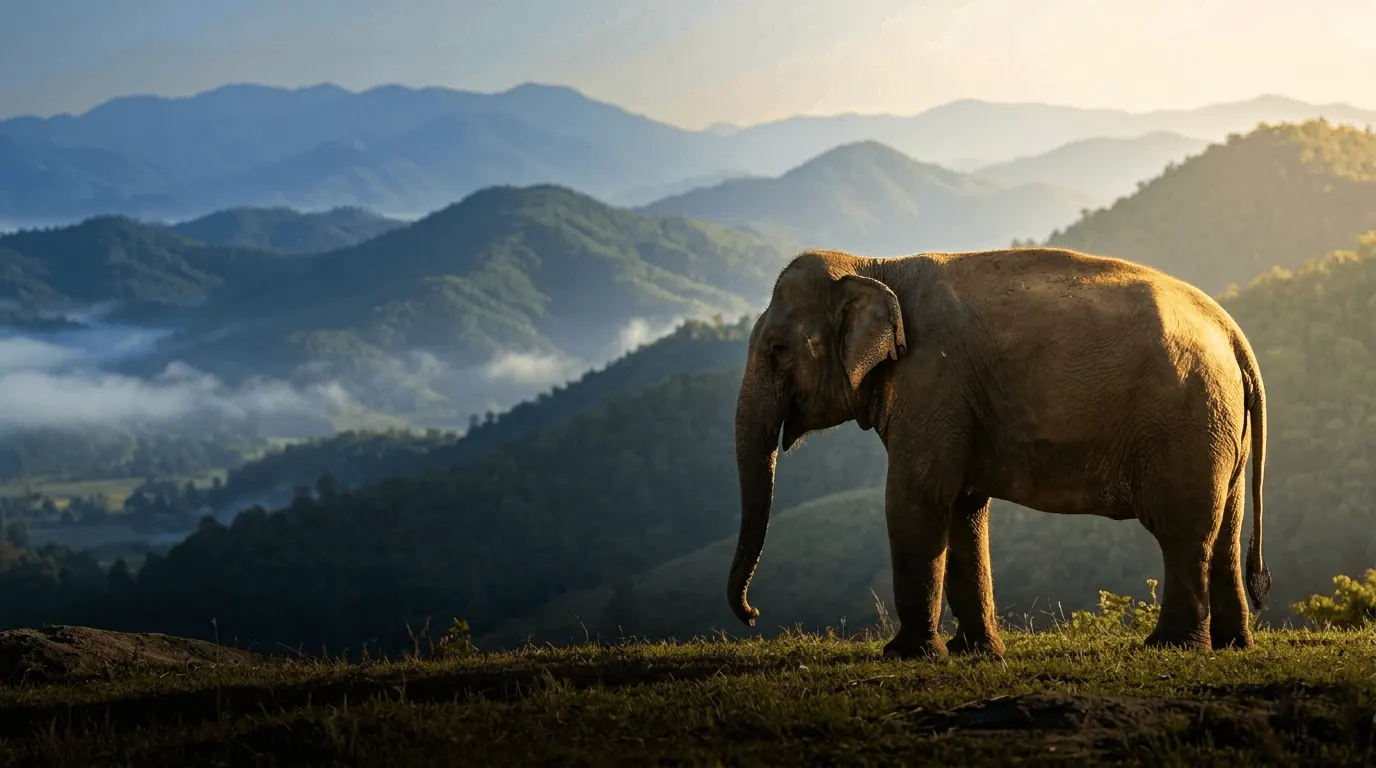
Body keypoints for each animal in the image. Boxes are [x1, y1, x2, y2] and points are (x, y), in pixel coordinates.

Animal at [726, 247, 1270, 659]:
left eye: (777, 350)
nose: (753, 616)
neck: (876, 265)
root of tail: (1235, 334)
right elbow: (963, 507)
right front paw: (976, 652)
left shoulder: (932, 383)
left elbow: (916, 499)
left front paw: (908, 655)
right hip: (1222, 430)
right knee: (1224, 530)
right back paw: (1232, 645)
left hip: (1186, 423)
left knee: (1184, 532)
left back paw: (1168, 647)